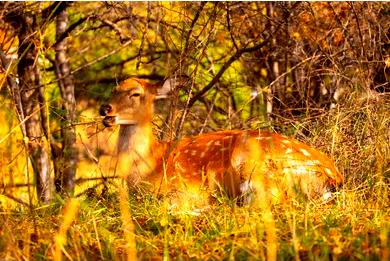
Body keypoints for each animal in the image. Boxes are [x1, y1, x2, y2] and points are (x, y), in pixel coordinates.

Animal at [99, 77, 342, 209]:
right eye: (114, 90)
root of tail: (335, 178)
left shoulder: (184, 184)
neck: (150, 163)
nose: (105, 108)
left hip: (254, 160)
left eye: (136, 93)